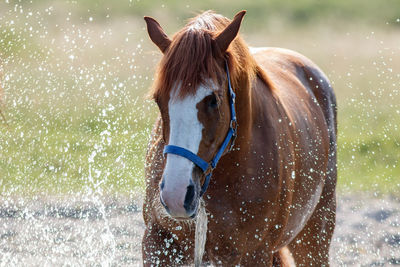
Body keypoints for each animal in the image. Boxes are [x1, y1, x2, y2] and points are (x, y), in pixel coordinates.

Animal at [142, 9, 336, 266]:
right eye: (158, 99)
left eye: (213, 100)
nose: (176, 193)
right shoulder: (157, 239)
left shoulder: (256, 253)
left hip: (314, 236)